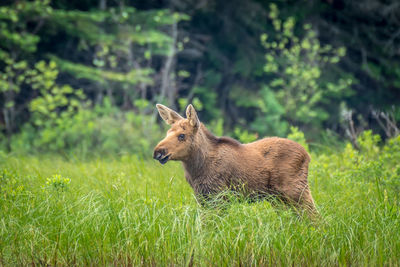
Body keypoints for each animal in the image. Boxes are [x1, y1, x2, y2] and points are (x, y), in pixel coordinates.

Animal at [153, 104, 316, 214]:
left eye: (182, 135)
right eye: (168, 132)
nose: (158, 152)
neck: (196, 169)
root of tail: (307, 155)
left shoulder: (220, 195)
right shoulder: (203, 197)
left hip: (296, 190)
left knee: (314, 216)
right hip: (278, 198)